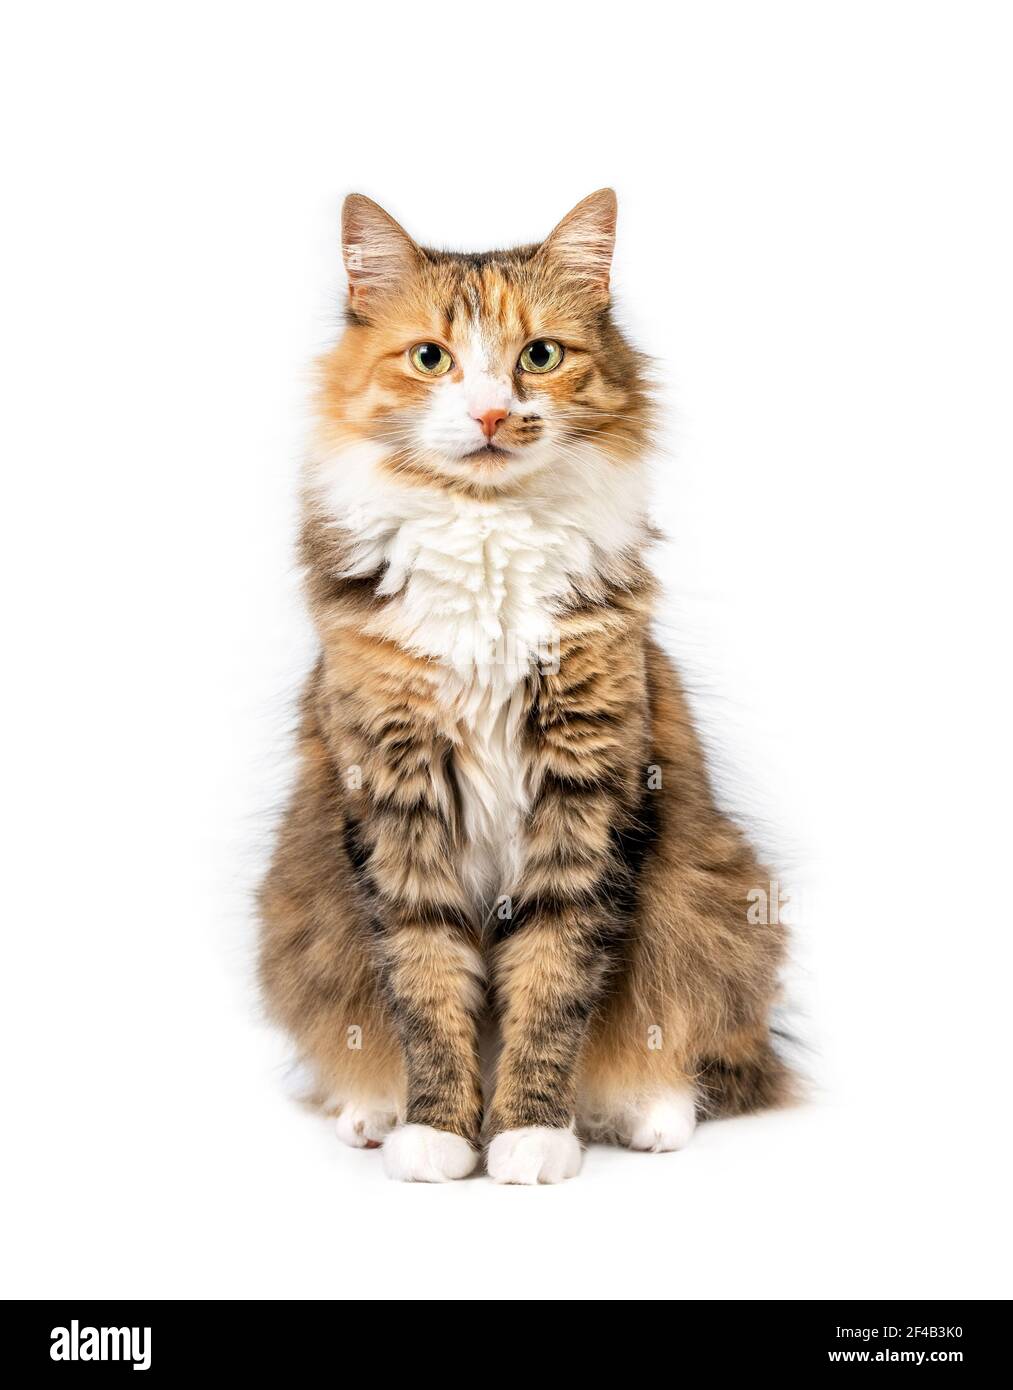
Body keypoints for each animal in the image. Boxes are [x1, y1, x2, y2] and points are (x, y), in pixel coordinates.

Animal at [254, 187, 789, 1184]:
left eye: (538, 355)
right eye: (431, 358)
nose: (494, 415)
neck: (485, 533)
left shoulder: (586, 794)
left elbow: (551, 987)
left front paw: (527, 1135)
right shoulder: (396, 800)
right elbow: (425, 991)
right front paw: (437, 1132)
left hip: (715, 904)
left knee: (692, 1051)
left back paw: (651, 1115)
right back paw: (372, 1112)